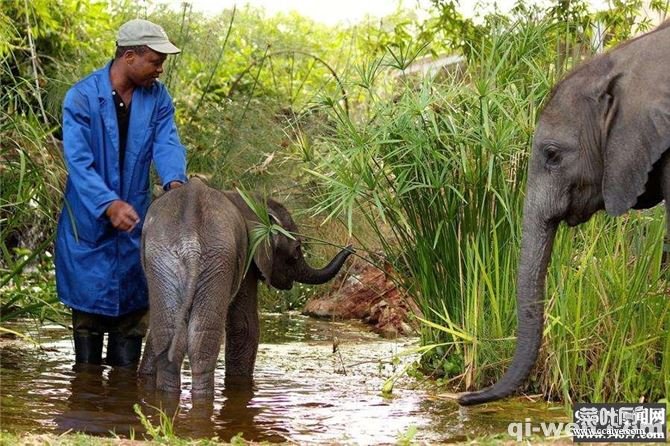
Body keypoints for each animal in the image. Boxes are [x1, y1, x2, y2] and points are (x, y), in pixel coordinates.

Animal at [139, 176, 354, 396]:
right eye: (297, 249)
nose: (351, 247)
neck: (250, 200)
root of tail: (190, 237)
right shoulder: (248, 258)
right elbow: (244, 326)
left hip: (164, 259)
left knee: (168, 331)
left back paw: (167, 394)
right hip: (218, 258)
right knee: (202, 340)